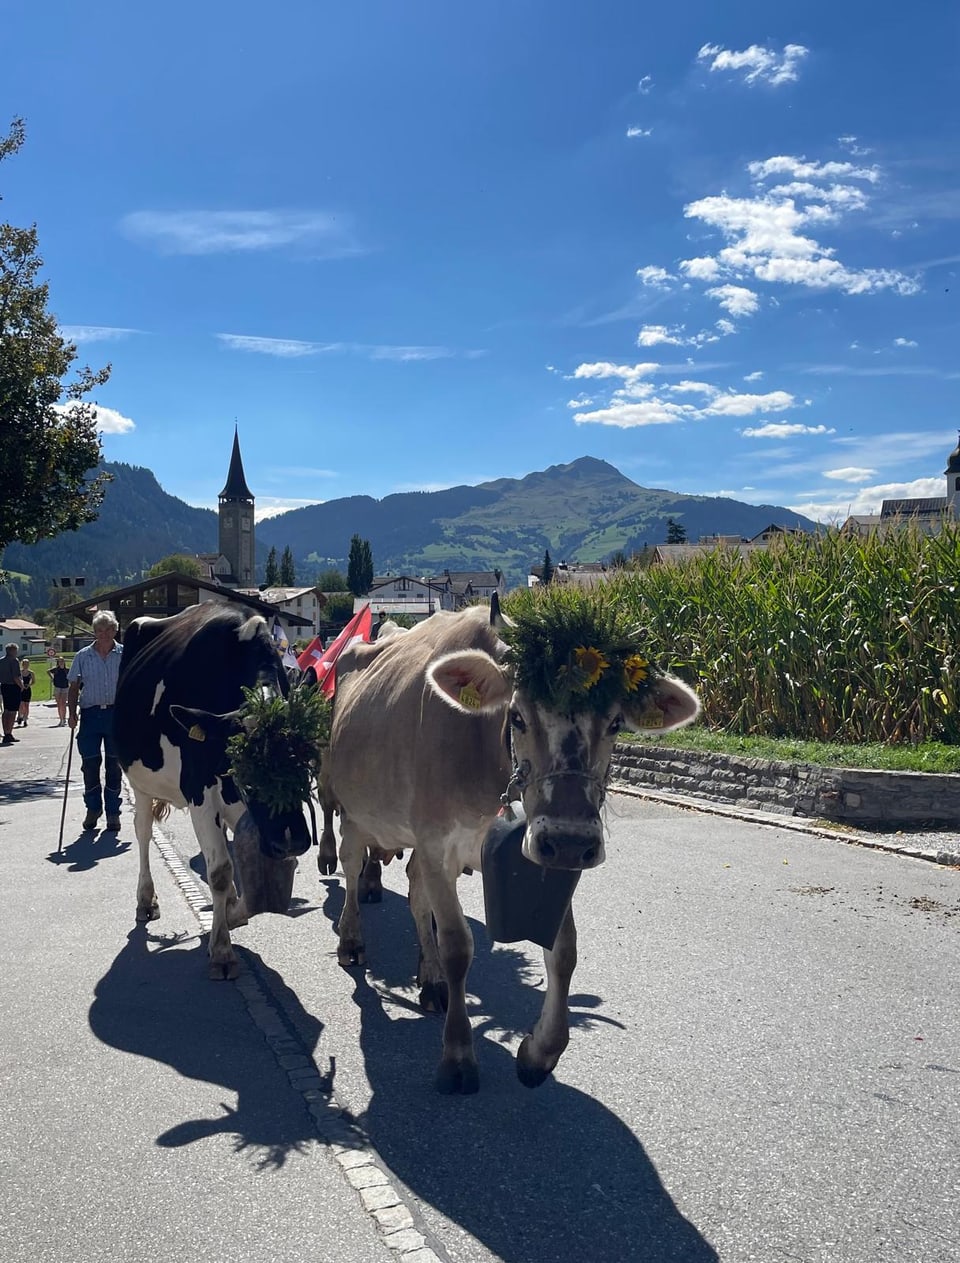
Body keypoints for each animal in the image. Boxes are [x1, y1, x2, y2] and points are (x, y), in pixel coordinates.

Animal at [114, 601, 310, 975]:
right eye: (247, 763)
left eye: (308, 758)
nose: (293, 840)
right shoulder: (199, 789)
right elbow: (219, 871)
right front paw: (221, 950)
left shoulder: (249, 812)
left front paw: (232, 913)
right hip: (139, 781)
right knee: (143, 830)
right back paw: (146, 899)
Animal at [323, 596, 697, 1091]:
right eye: (517, 715)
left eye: (616, 722)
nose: (570, 839)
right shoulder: (438, 844)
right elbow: (458, 945)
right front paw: (458, 1056)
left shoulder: (541, 853)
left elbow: (564, 951)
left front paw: (540, 1052)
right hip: (352, 810)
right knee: (350, 868)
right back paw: (351, 940)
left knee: (416, 892)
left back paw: (431, 980)